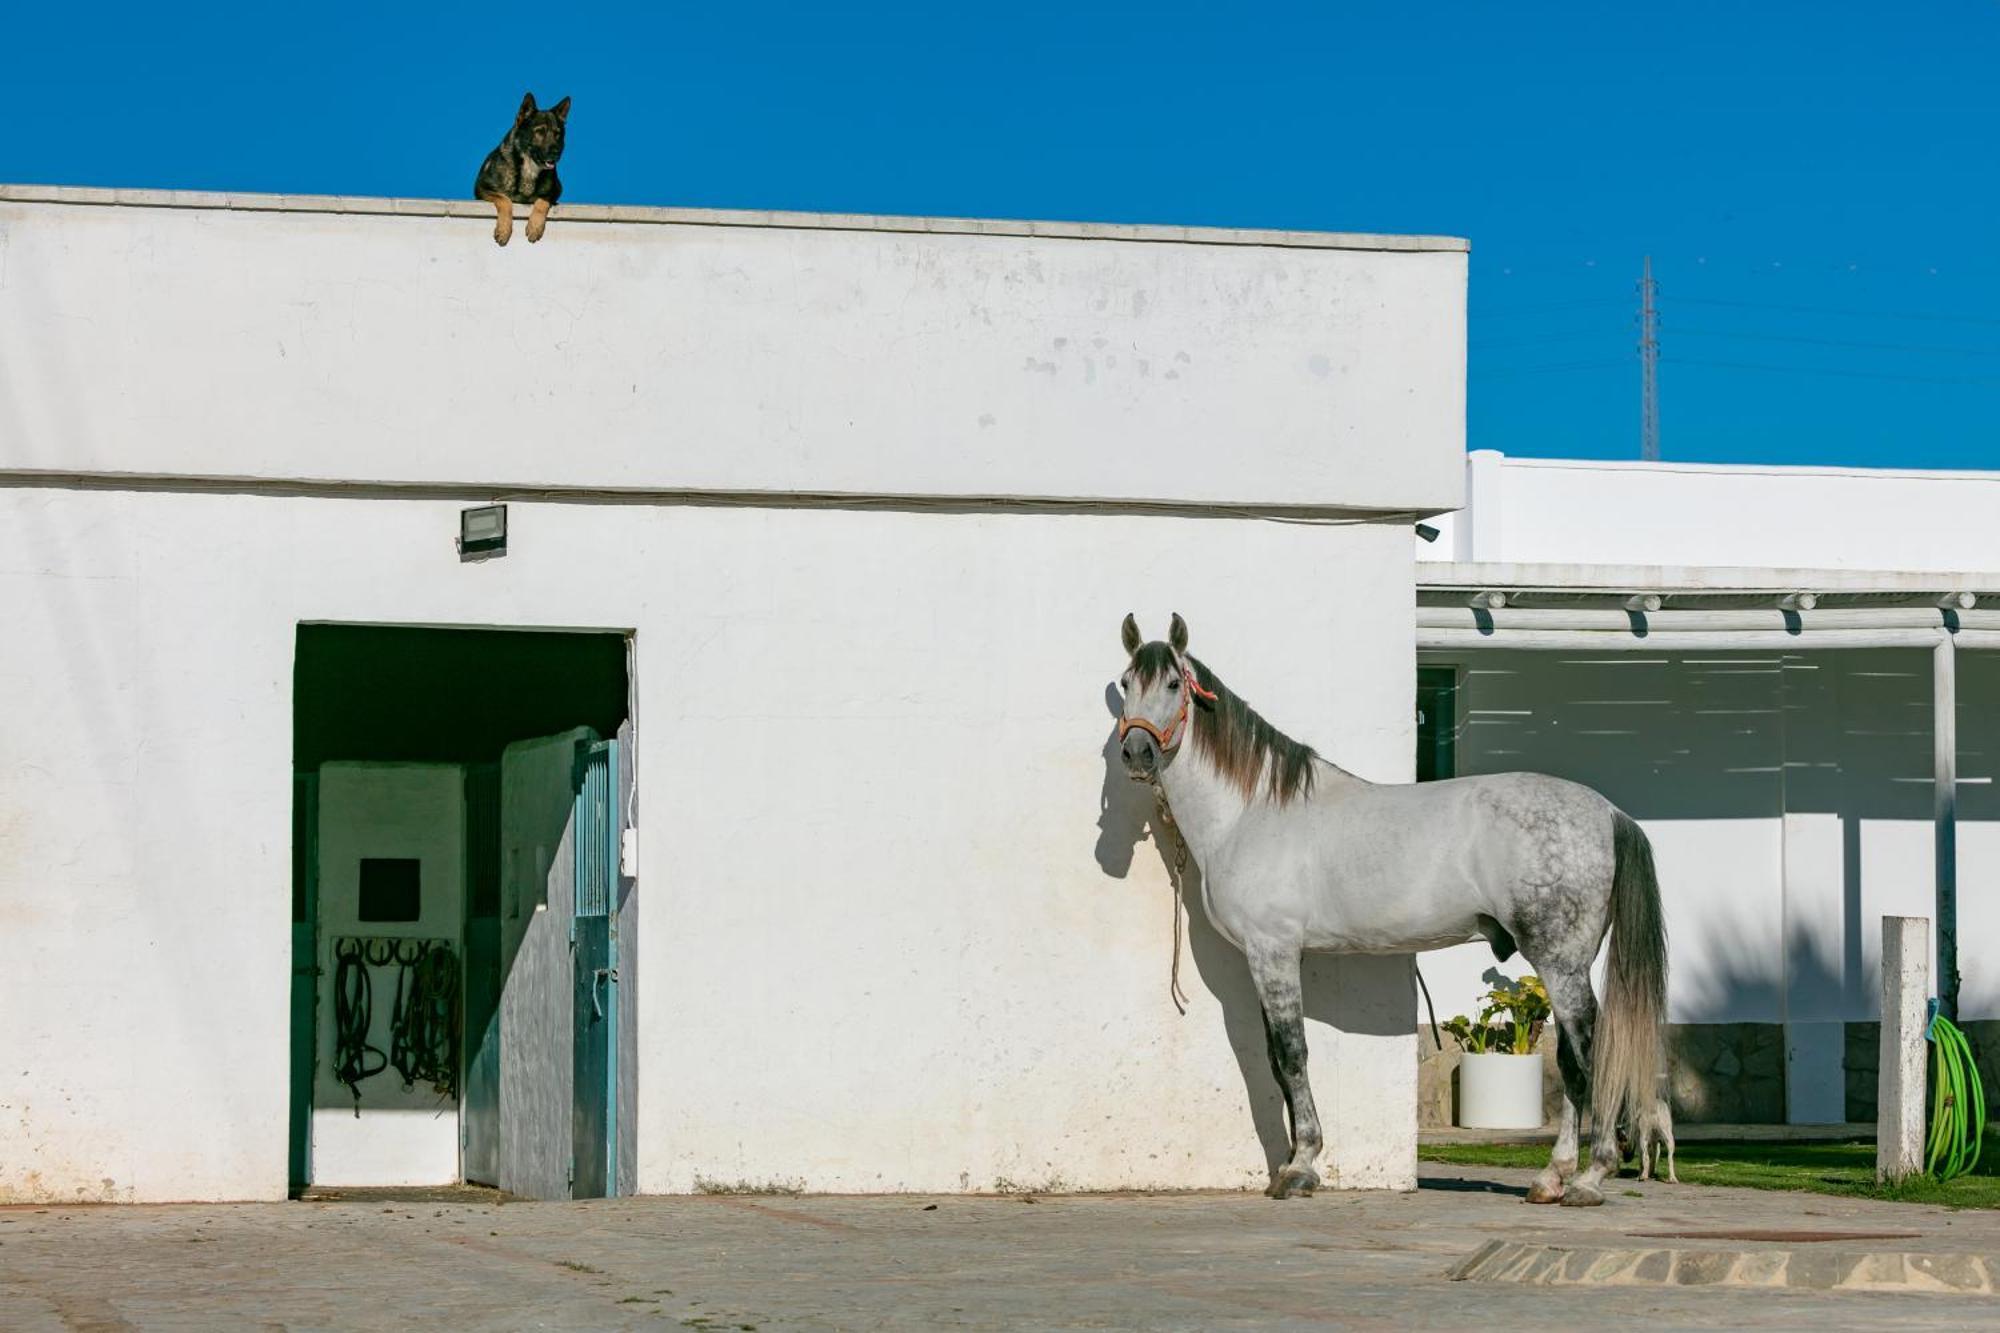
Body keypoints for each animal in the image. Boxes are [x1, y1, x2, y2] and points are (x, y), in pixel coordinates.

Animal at [480, 92, 576, 245]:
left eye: (557, 134)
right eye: (540, 132)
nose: (557, 153)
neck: (529, 167)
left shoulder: (555, 192)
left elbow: (542, 200)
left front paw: (535, 227)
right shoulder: (483, 188)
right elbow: (504, 199)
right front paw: (504, 229)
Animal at [1120, 612, 1664, 1200]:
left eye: (1172, 684)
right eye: (1126, 683)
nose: (1136, 753)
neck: (1251, 812)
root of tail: (1607, 812)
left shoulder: (1273, 951)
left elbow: (1291, 1054)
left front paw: (1300, 1167)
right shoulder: (1267, 958)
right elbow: (1275, 1059)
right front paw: (1290, 1163)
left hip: (1560, 961)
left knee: (1585, 1055)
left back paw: (1583, 1175)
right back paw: (1560, 1176)